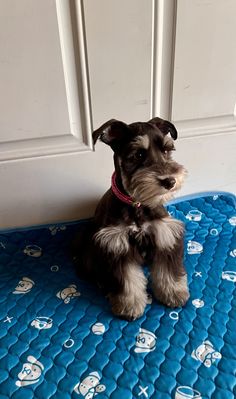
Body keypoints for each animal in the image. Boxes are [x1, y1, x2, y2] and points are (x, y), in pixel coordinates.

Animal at [72, 117, 190, 320]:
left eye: (167, 150)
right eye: (138, 154)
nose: (170, 181)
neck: (138, 204)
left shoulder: (165, 234)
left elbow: (168, 270)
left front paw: (174, 292)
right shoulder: (117, 244)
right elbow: (127, 279)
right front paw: (129, 305)